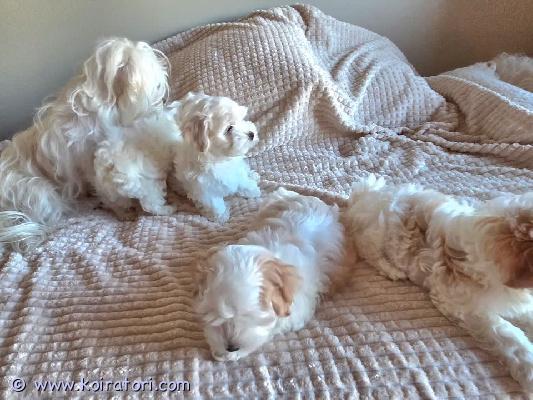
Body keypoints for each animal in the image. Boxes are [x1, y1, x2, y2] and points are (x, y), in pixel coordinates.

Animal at [0, 37, 169, 251]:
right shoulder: (93, 166)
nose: (164, 100)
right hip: (40, 192)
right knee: (51, 219)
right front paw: (124, 212)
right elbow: (110, 196)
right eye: (157, 87)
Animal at [172, 92, 260, 223]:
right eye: (229, 128)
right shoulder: (203, 189)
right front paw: (221, 216)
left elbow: (244, 181)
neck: (219, 159)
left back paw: (253, 175)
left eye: (241, 119)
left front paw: (252, 190)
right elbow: (214, 204)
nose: (251, 134)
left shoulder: (236, 171)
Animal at [346, 175, 533, 391]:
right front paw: (529, 367)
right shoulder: (465, 307)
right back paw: (392, 270)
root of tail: (365, 194)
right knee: (369, 251)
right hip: (375, 233)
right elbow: (508, 335)